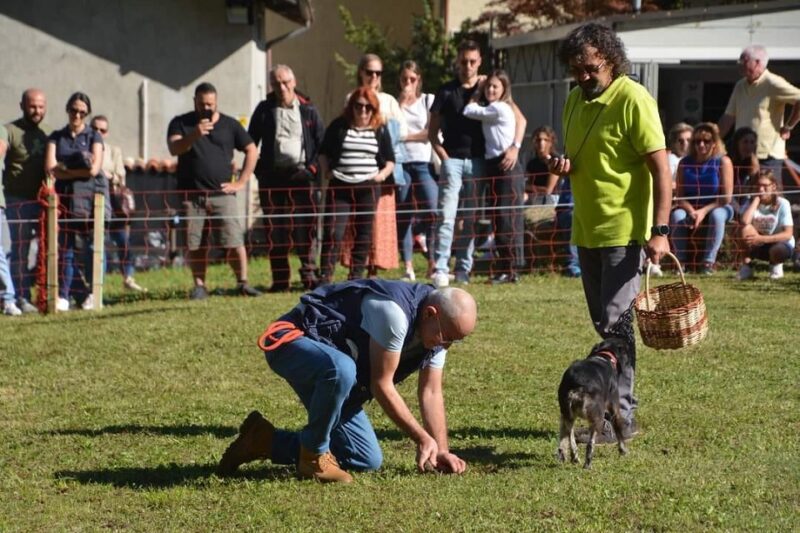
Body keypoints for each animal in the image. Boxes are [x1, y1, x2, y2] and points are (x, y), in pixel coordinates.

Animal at [556, 334, 632, 468]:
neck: (604, 356)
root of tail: (577, 387)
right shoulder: (614, 408)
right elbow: (618, 431)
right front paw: (623, 451)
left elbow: (564, 436)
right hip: (598, 417)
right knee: (590, 444)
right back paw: (587, 465)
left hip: (567, 413)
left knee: (569, 435)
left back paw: (573, 457)